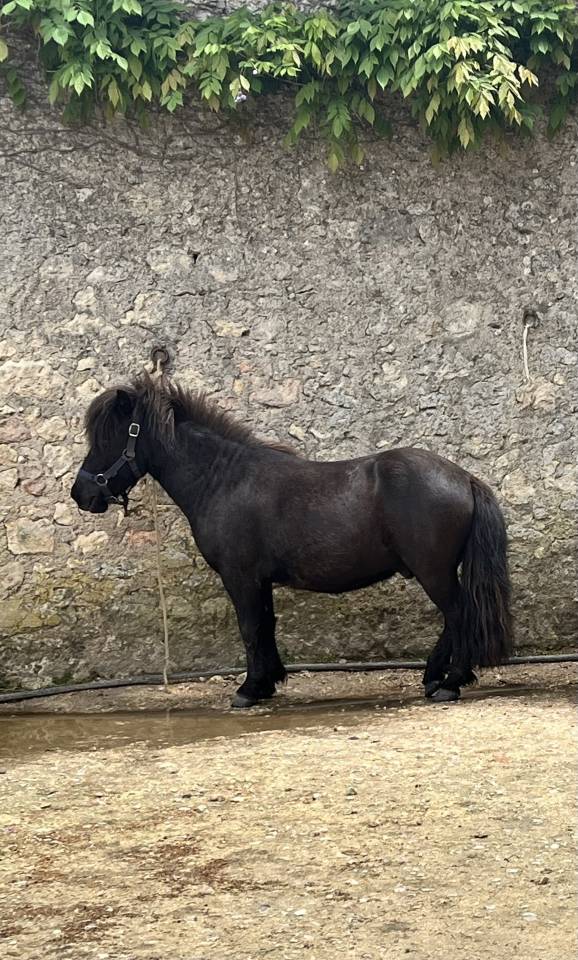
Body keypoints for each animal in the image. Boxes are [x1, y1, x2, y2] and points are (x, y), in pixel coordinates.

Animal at [71, 373, 513, 708]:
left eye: (109, 438)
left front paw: (248, 690)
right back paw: (433, 676)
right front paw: (267, 683)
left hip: (433, 570)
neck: (223, 480)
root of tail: (464, 478)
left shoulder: (240, 577)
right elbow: (266, 626)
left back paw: (451, 682)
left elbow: (250, 628)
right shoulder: (259, 580)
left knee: (459, 614)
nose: (82, 495)